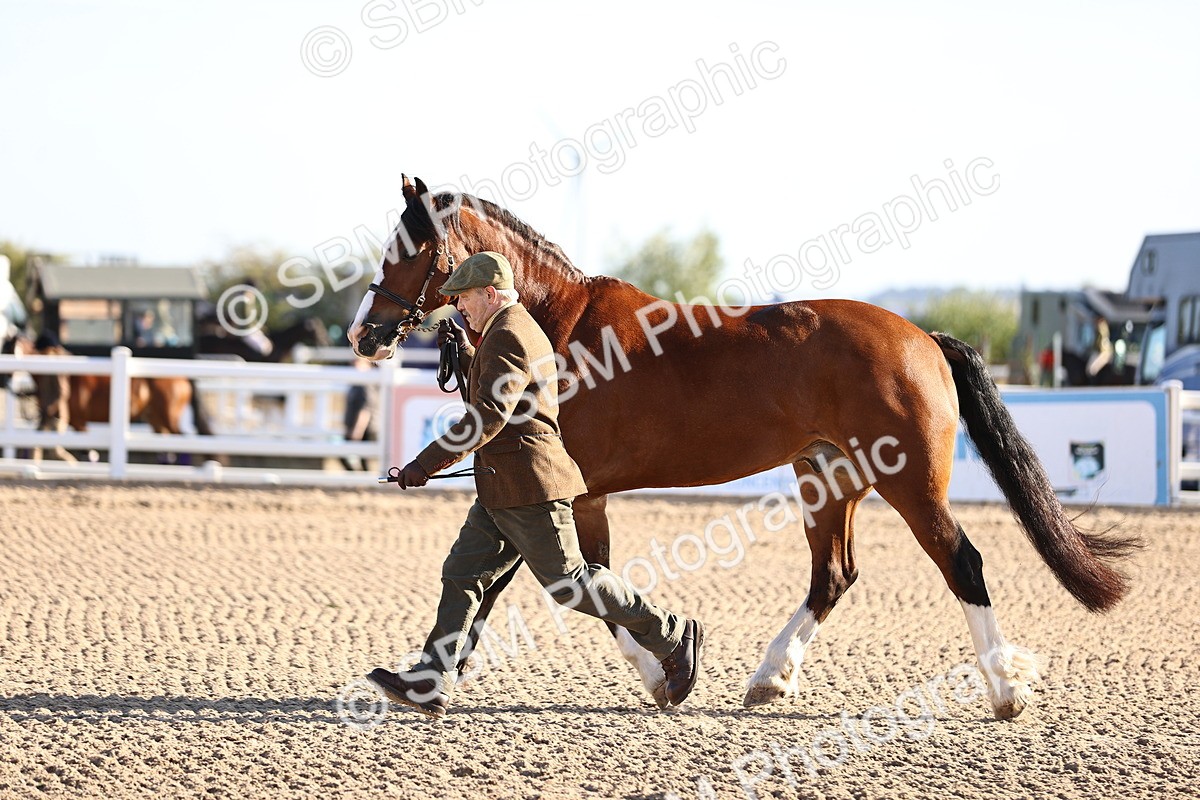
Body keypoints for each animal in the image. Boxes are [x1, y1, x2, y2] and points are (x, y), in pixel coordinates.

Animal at [347, 176, 1139, 720]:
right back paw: (770, 676)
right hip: (828, 478)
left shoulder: (564, 490)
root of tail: (923, 338)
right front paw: (665, 673)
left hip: (909, 482)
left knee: (961, 563)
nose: (363, 331)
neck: (556, 320)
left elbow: (571, 584)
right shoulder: (577, 495)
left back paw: (1004, 691)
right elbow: (576, 580)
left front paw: (665, 673)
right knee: (834, 576)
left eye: (411, 248)